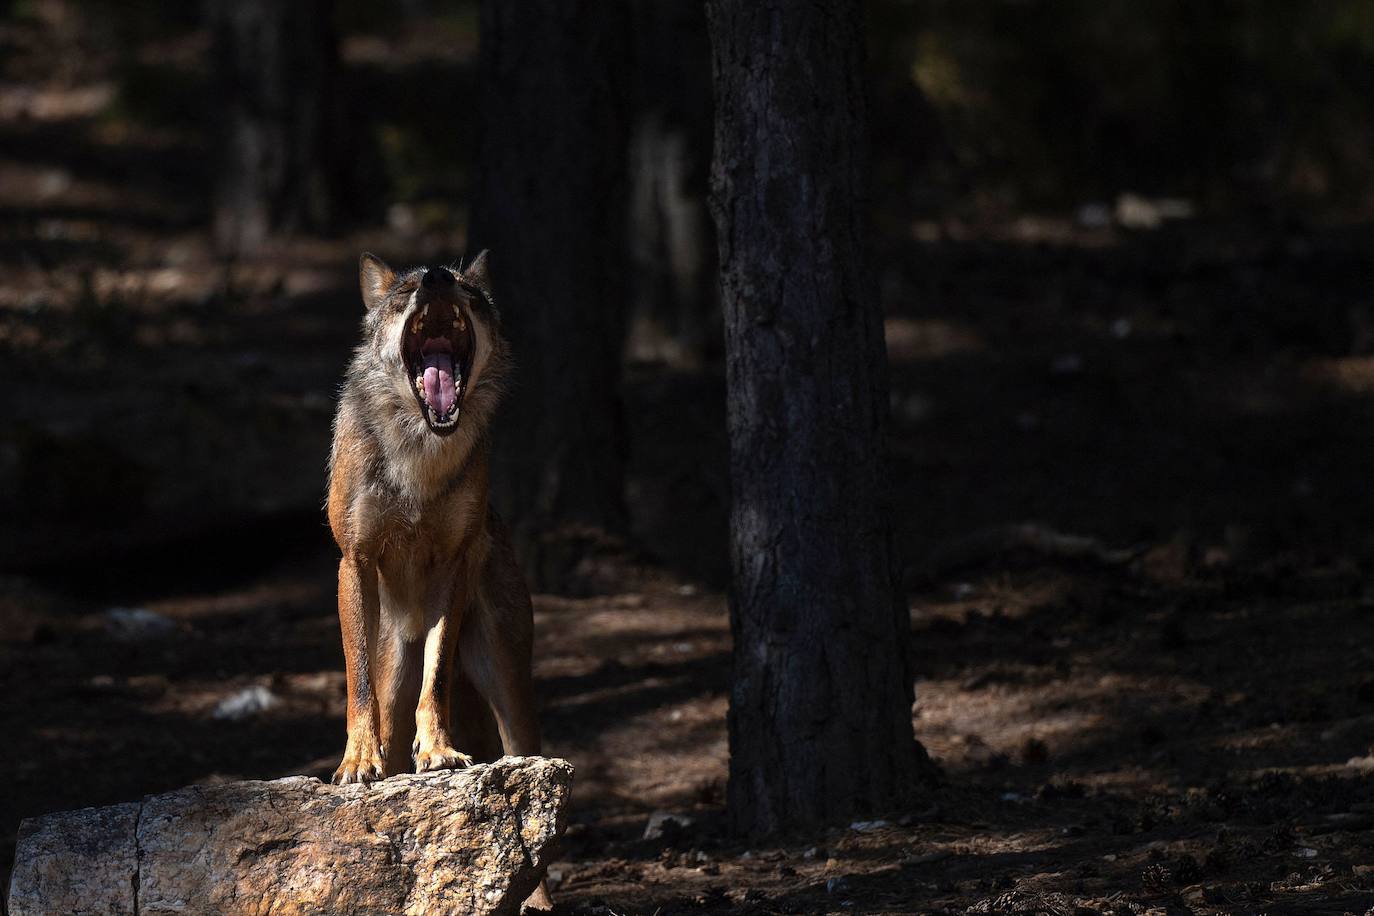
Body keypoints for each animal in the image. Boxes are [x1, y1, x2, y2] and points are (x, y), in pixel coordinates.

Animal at [327, 248, 546, 796]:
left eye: (469, 293)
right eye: (406, 292)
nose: (437, 278)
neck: (420, 453)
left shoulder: (453, 564)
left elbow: (439, 672)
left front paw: (439, 751)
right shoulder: (354, 559)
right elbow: (357, 679)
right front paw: (357, 761)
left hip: (509, 685)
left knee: (521, 747)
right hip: (396, 677)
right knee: (386, 716)